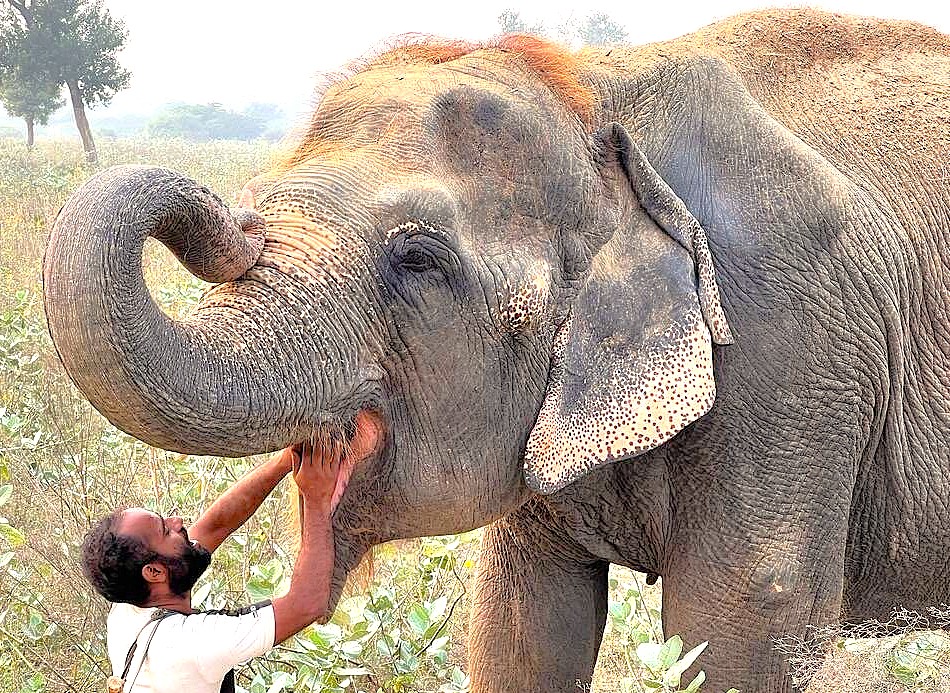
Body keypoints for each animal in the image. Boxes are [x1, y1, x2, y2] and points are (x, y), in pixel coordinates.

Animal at [43, 8, 950, 692]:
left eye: (418, 256)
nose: (236, 218)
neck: (598, 96)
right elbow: (524, 620)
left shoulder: (794, 344)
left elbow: (746, 620)